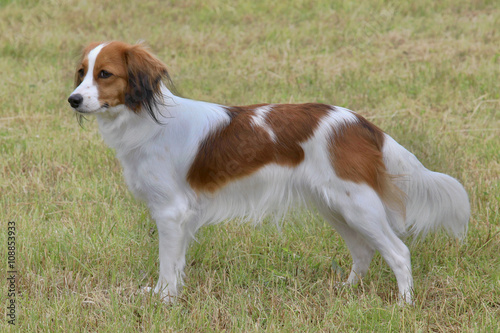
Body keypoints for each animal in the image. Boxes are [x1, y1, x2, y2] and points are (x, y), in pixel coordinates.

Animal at [68, 40, 470, 304]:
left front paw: (163, 301)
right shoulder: (178, 217)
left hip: (357, 205)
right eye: (81, 73)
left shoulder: (170, 212)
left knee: (398, 251)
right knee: (362, 249)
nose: (73, 99)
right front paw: (164, 295)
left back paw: (404, 304)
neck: (145, 120)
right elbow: (176, 262)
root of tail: (358, 122)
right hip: (336, 206)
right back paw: (347, 291)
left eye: (105, 74)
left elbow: (167, 264)